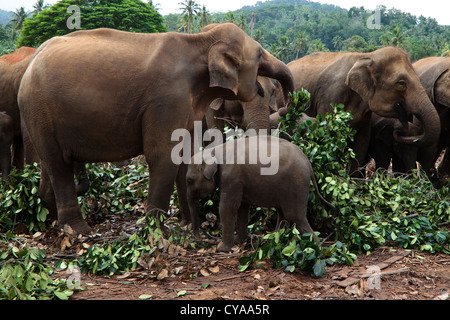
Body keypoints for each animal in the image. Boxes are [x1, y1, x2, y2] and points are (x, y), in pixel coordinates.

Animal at [17, 22, 294, 232]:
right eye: (260, 55)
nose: (291, 100)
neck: (199, 41)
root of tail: (32, 61)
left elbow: (186, 156)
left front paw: (187, 226)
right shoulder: (167, 99)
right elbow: (163, 155)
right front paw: (156, 231)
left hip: (39, 116)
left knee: (49, 164)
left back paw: (50, 221)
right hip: (38, 108)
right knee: (59, 165)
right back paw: (77, 230)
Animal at [186, 135, 334, 252]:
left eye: (189, 180)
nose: (198, 240)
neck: (213, 151)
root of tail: (308, 163)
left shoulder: (231, 177)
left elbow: (228, 207)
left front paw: (222, 249)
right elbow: (242, 207)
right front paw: (239, 241)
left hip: (296, 184)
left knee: (294, 215)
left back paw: (316, 249)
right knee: (282, 214)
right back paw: (275, 240)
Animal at [288, 47, 440, 175]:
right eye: (401, 83)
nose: (399, 130)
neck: (367, 56)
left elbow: (361, 143)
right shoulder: (329, 98)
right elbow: (328, 138)